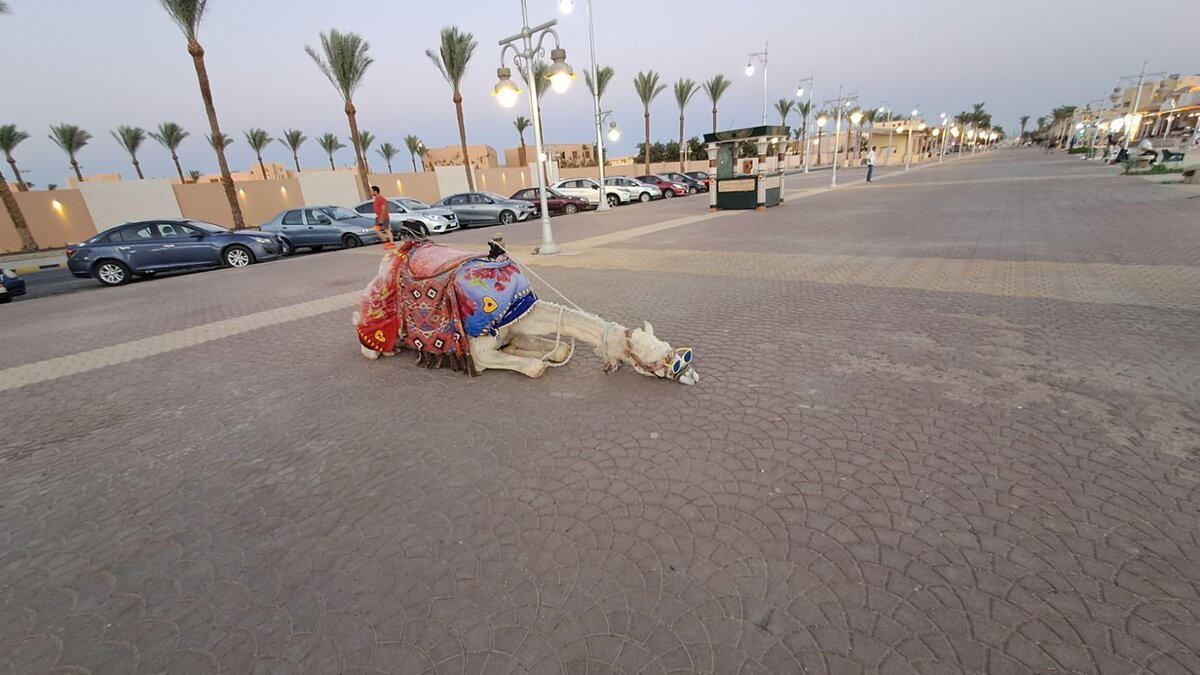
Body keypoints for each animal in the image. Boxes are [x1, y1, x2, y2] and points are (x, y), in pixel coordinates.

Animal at [350, 240, 700, 384]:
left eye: (674, 350)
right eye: (657, 358)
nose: (690, 373)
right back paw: (384, 348)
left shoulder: (515, 326)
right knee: (367, 341)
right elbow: (534, 367)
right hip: (376, 321)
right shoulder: (478, 353)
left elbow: (558, 350)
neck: (510, 307)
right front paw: (529, 360)